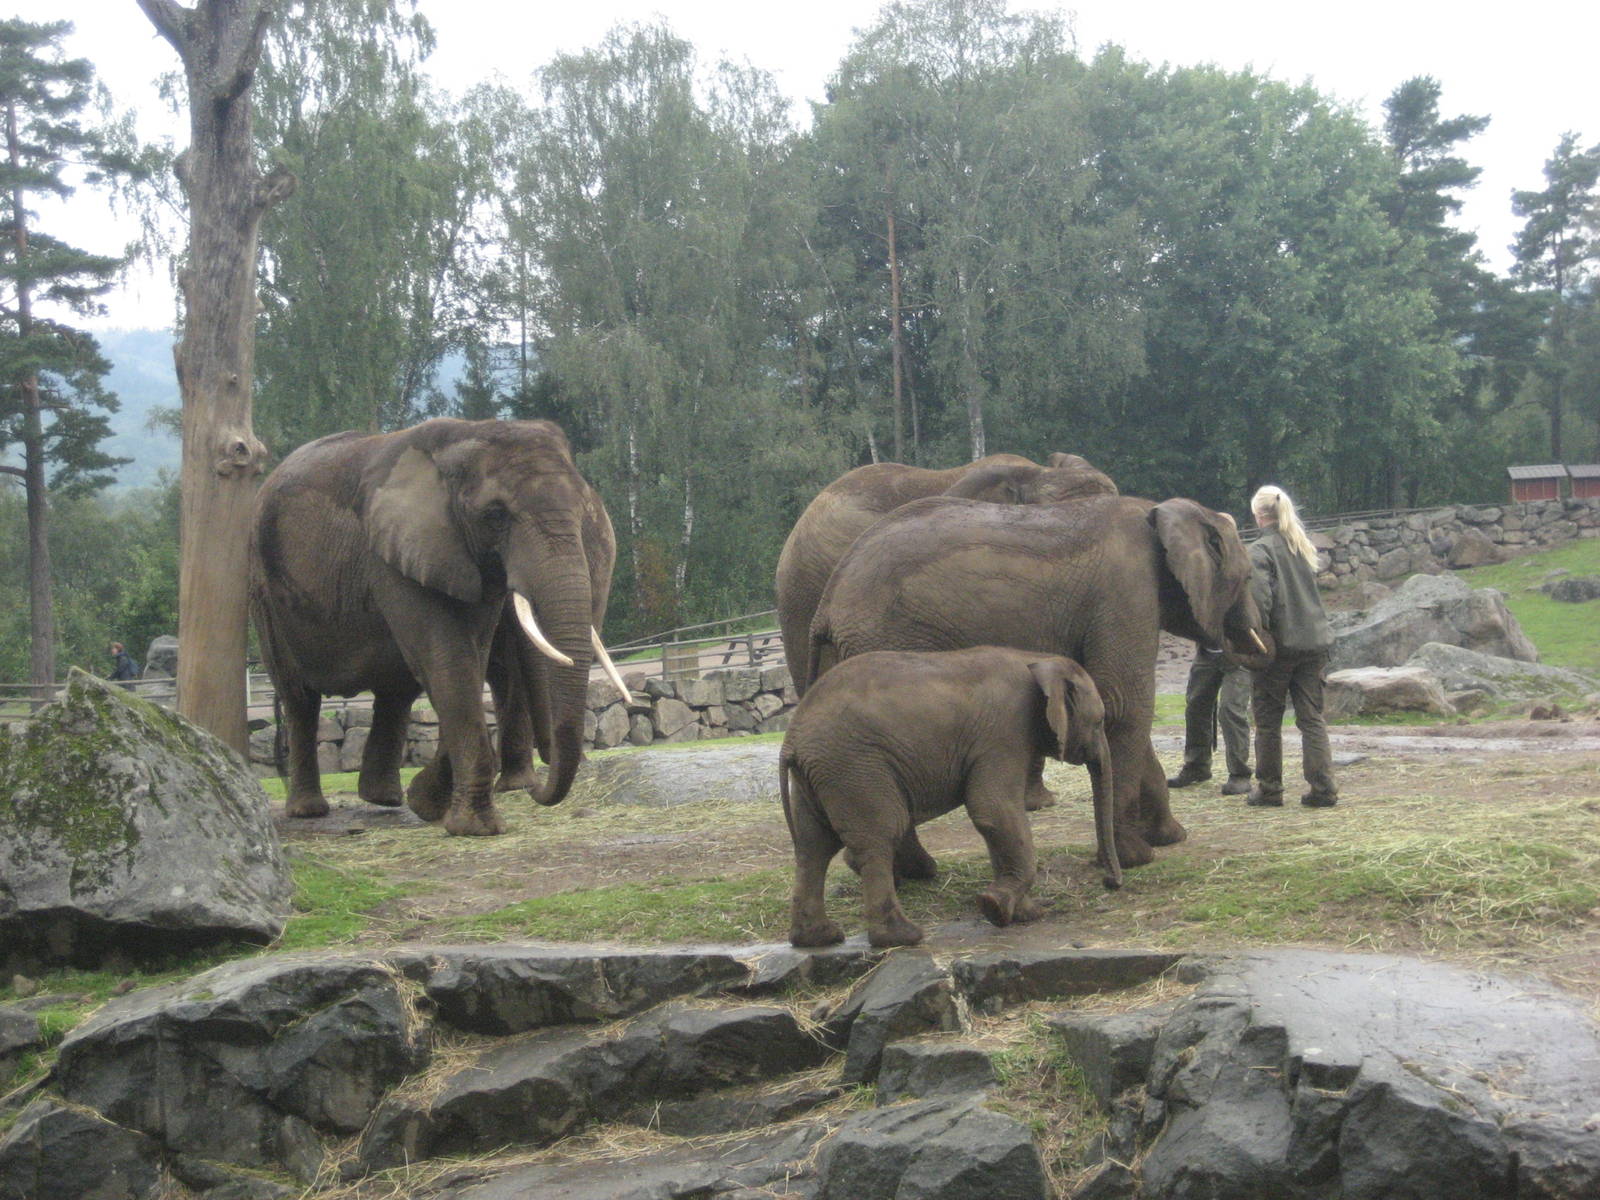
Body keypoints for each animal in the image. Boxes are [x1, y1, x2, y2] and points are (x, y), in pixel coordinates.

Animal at [249, 418, 631, 836]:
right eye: (496, 514)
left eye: (582, 509)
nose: (538, 793)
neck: (463, 436)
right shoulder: (394, 555)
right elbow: (448, 660)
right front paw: (475, 828)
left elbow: (468, 661)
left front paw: (427, 804)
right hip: (263, 591)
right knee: (299, 697)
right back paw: (309, 810)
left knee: (395, 691)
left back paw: (385, 798)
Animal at [779, 646, 1120, 949]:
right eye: (1100, 721)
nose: (1111, 883)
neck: (1038, 660)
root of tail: (791, 740)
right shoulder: (1004, 733)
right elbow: (993, 810)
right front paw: (994, 907)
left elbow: (996, 822)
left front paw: (1025, 914)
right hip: (855, 768)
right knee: (878, 839)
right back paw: (903, 938)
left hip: (819, 777)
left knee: (813, 848)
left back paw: (818, 939)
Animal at [808, 494, 1266, 868]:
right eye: (1247, 578)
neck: (1161, 511)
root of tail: (827, 602)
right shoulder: (1126, 591)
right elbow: (1124, 705)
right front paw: (1136, 857)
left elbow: (1115, 708)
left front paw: (1171, 838)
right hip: (890, 637)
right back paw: (921, 873)